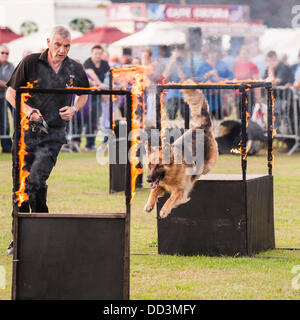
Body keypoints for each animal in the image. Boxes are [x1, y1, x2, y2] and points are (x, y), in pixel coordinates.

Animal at [145, 79, 218, 219]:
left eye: (159, 166)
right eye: (150, 165)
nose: (148, 179)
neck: (172, 172)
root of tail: (203, 126)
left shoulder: (181, 190)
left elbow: (171, 198)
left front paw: (164, 210)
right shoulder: (160, 185)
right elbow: (153, 191)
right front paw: (149, 204)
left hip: (208, 166)